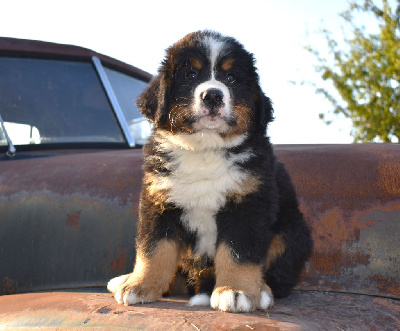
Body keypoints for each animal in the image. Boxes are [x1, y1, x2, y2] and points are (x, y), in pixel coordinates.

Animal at [108, 29, 312, 312]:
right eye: (191, 75)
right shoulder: (159, 201)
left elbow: (238, 252)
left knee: (277, 275)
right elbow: (154, 248)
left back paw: (260, 290)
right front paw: (141, 284)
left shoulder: (248, 203)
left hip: (291, 231)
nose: (213, 95)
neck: (204, 149)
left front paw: (236, 290)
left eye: (231, 78)